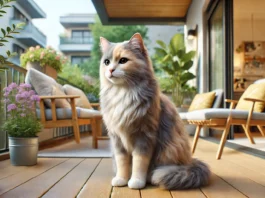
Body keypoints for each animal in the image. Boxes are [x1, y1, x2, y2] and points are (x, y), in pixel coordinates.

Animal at [98, 33, 209, 189]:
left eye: (123, 60)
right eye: (106, 62)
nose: (110, 70)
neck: (123, 93)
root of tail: (190, 162)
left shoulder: (144, 136)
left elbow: (139, 163)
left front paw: (136, 181)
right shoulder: (117, 140)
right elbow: (122, 163)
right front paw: (121, 179)